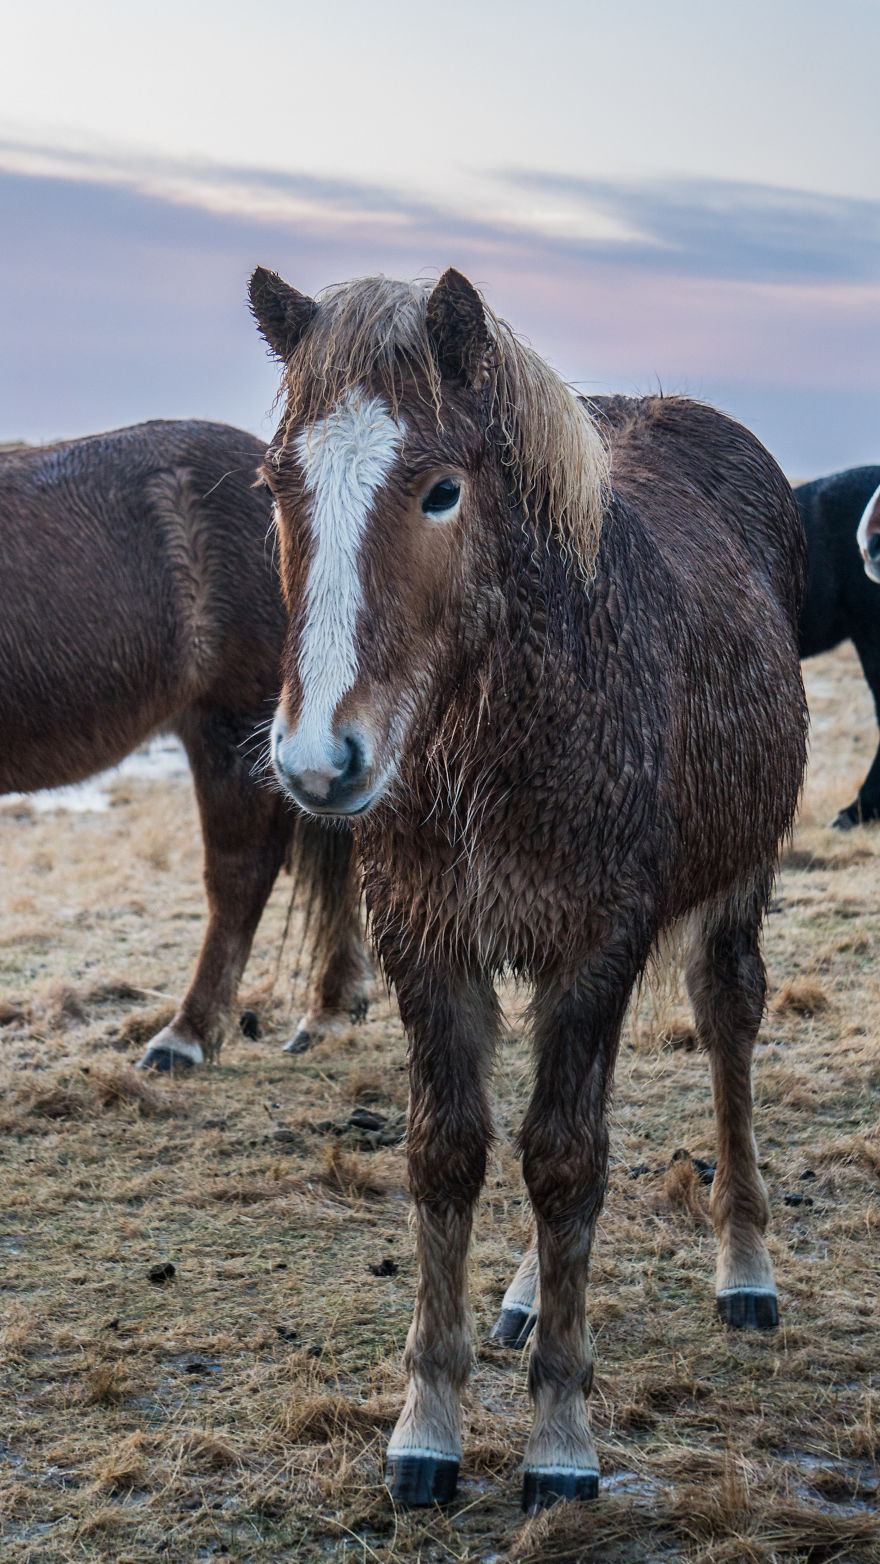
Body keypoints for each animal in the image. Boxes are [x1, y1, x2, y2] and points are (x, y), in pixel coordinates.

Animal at [249, 266, 808, 1513]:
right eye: (275, 486)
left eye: (440, 491)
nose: (319, 759)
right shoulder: (431, 944)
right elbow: (450, 1155)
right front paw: (427, 1425)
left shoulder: (594, 943)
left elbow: (563, 1164)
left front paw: (560, 1436)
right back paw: (516, 1295)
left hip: (734, 880)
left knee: (725, 1025)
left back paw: (744, 1266)